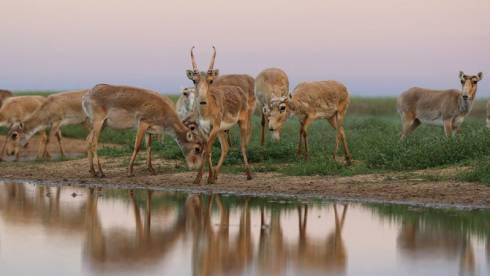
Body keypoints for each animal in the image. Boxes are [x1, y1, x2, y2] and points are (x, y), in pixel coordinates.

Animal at [185, 46, 251, 184]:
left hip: (242, 122)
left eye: (210, 80)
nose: (202, 101)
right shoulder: (203, 129)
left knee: (243, 146)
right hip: (222, 130)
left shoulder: (214, 127)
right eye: (194, 80)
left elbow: (207, 150)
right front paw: (208, 177)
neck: (206, 112)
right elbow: (207, 150)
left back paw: (249, 175)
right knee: (225, 147)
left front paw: (199, 179)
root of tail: (239, 90)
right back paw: (215, 174)